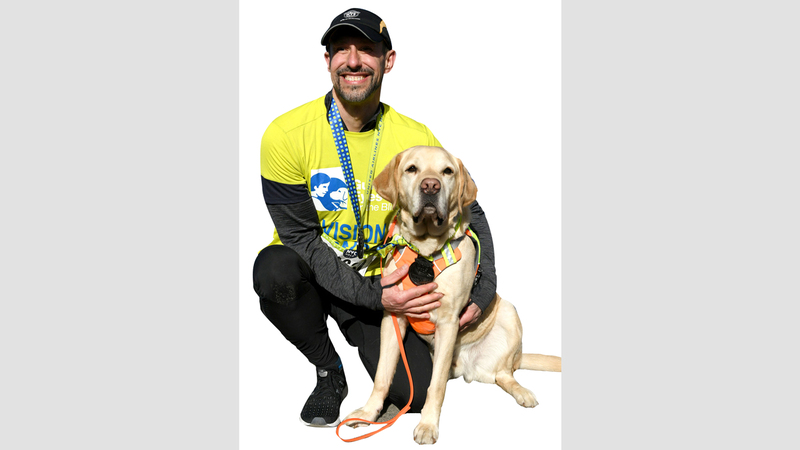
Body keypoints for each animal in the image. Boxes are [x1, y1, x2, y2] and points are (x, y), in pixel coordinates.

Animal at [343, 146, 561, 444]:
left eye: (447, 171)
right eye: (412, 169)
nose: (430, 185)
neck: (425, 250)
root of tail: (466, 366)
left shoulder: (448, 322)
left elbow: (434, 386)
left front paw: (427, 426)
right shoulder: (394, 316)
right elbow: (382, 376)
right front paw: (368, 413)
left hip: (509, 313)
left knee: (504, 374)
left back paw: (523, 392)